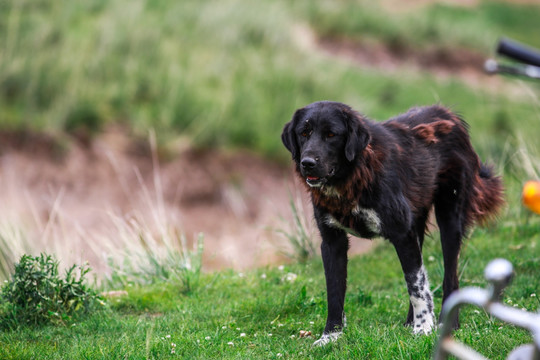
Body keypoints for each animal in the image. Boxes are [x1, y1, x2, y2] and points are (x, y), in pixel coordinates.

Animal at [280, 101, 504, 346]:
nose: (307, 163)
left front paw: (424, 329)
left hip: (449, 220)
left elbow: (416, 287)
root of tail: (449, 114)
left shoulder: (401, 233)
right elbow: (334, 292)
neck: (354, 176)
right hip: (417, 226)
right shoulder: (332, 242)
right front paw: (331, 335)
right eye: (304, 133)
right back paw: (409, 323)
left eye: (331, 135)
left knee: (449, 277)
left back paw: (448, 324)